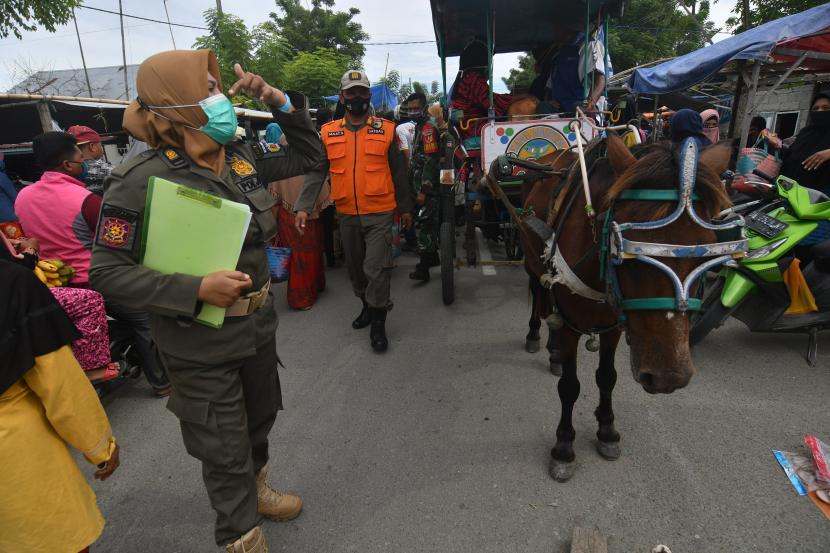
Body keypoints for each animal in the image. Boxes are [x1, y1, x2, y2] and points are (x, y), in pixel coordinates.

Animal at [520, 133, 736, 478]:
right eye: (624, 252)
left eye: (707, 249)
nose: (668, 377)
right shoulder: (570, 326)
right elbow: (569, 386)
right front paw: (564, 446)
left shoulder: (614, 327)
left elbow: (607, 377)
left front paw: (607, 430)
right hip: (531, 261)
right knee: (539, 294)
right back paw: (535, 334)